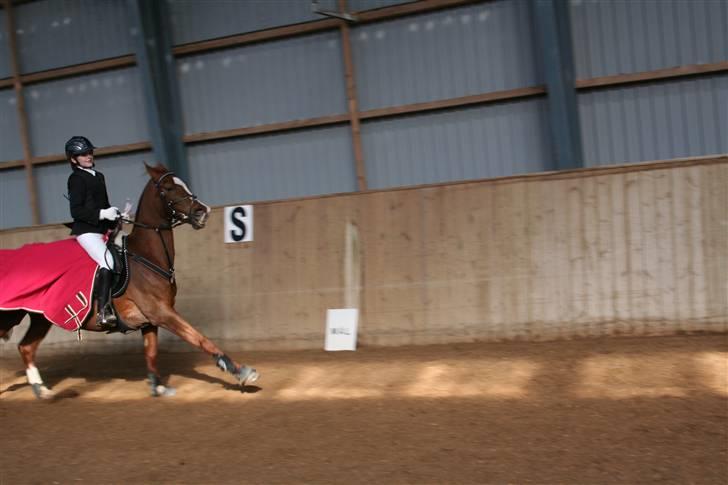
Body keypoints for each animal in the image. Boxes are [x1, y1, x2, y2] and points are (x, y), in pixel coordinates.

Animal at [0, 163, 260, 398]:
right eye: (168, 188)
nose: (202, 212)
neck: (146, 256)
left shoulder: (150, 320)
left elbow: (151, 353)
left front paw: (158, 387)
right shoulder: (162, 312)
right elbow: (199, 338)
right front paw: (241, 371)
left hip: (41, 317)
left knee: (26, 348)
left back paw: (42, 390)